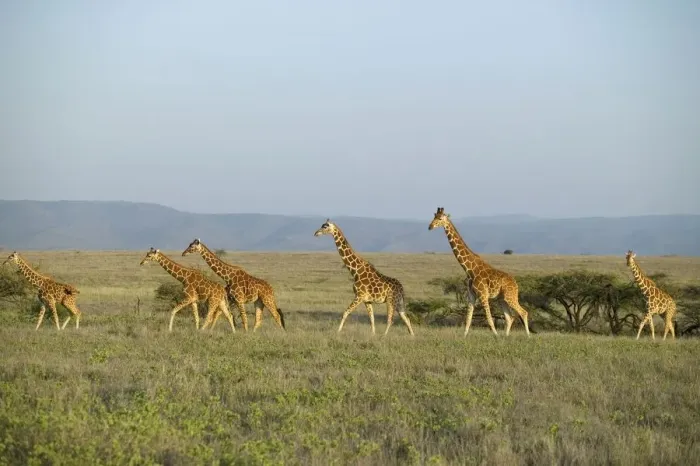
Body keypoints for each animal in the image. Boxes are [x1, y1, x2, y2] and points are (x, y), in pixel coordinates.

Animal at [428, 207, 530, 337]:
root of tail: (516, 284)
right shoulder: (471, 295)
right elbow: (468, 319)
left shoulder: (483, 295)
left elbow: (489, 319)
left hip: (509, 296)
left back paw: (528, 336)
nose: (430, 226)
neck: (469, 269)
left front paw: (496, 336)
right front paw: (464, 337)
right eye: (434, 216)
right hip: (501, 299)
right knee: (509, 317)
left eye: (440, 218)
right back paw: (506, 336)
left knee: (523, 312)